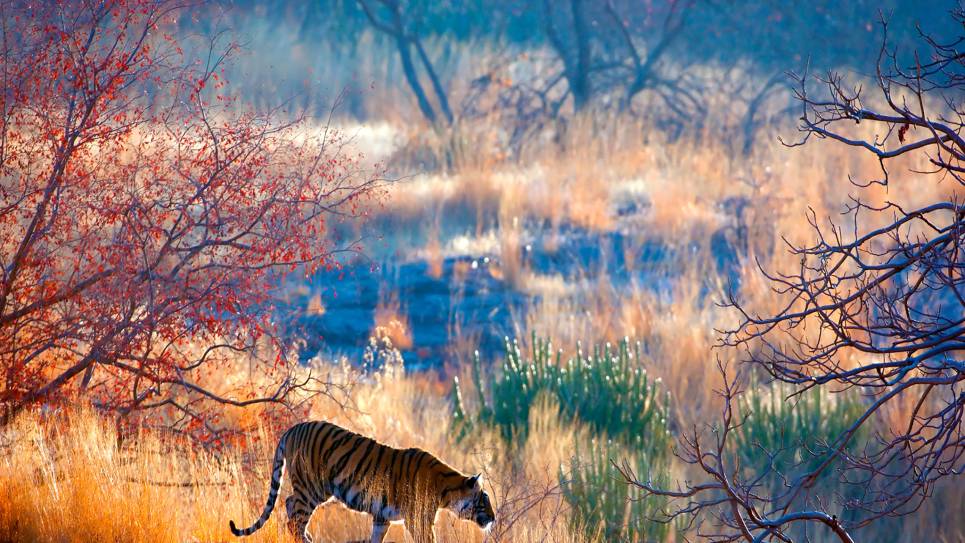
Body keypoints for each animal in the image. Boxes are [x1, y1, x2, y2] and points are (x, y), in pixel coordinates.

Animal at [229, 420, 494, 543]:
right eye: (484, 501)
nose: (493, 518)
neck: (446, 490)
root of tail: (293, 428)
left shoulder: (382, 516)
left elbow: (376, 537)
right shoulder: (418, 520)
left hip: (312, 489)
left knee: (289, 505)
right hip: (312, 487)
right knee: (294, 517)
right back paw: (306, 539)